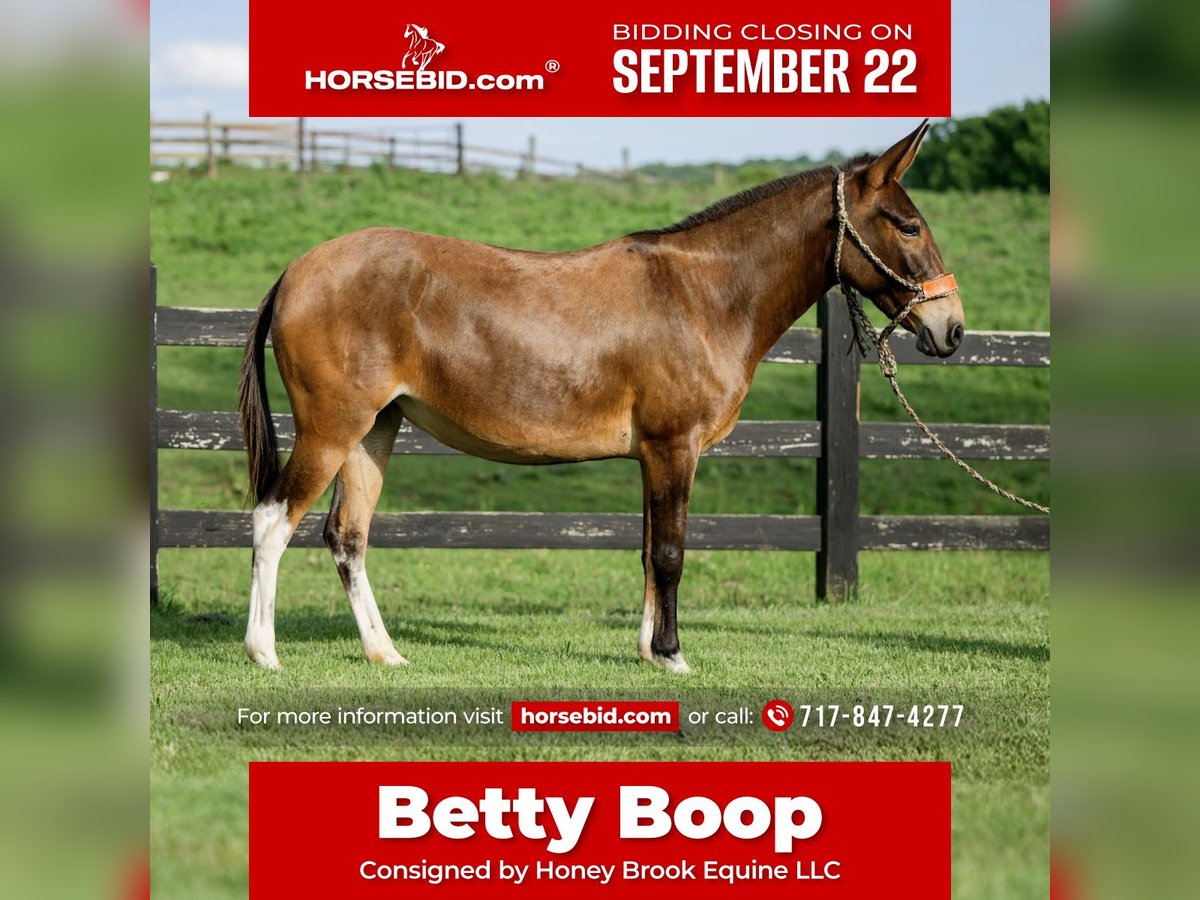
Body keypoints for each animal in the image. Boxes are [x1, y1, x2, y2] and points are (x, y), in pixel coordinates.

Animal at [237, 121, 964, 671]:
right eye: (907, 225)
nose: (951, 328)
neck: (702, 295)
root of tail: (297, 269)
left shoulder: (652, 455)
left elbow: (647, 550)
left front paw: (648, 652)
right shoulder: (674, 448)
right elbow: (670, 552)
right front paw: (672, 654)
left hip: (374, 430)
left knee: (347, 536)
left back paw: (384, 652)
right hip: (331, 429)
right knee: (273, 520)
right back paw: (263, 651)